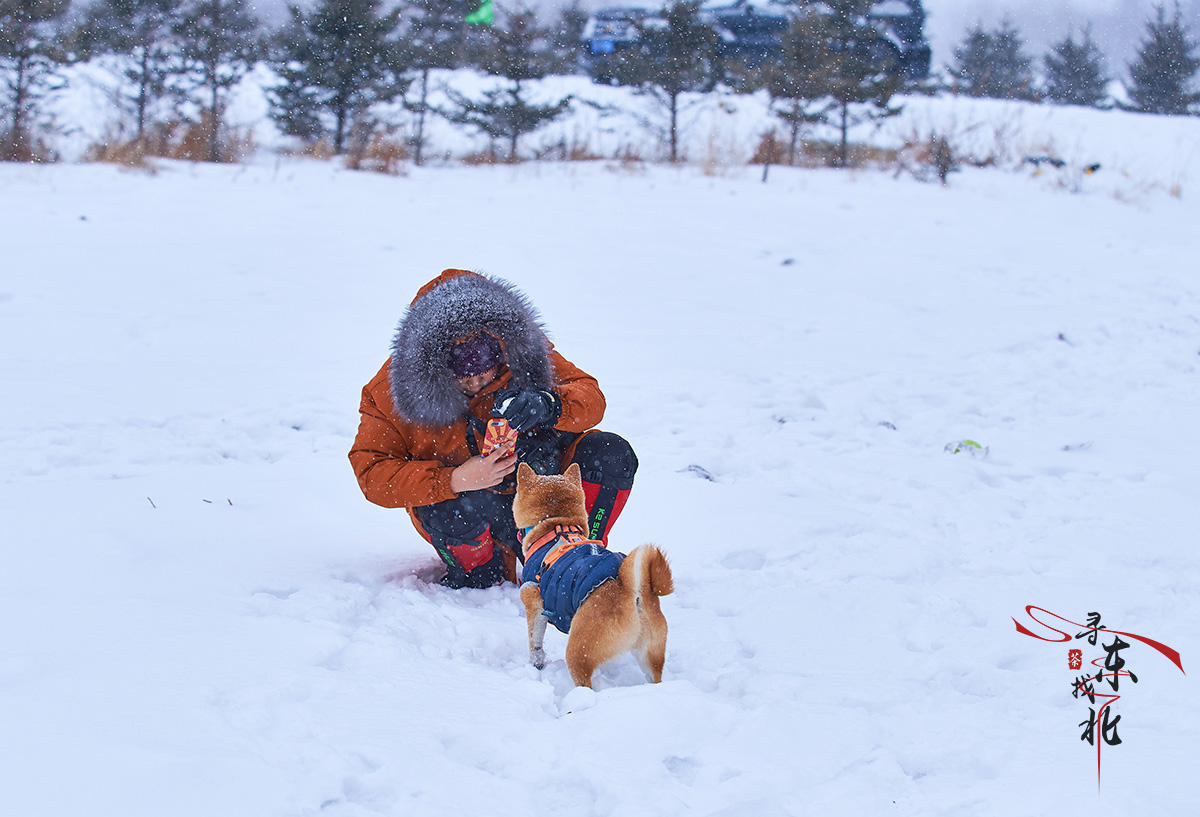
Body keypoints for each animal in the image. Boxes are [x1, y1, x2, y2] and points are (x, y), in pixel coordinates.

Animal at [511, 463, 672, 686]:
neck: (555, 525)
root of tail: (633, 592)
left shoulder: (534, 603)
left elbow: (535, 642)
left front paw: (536, 663)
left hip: (578, 652)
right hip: (651, 657)